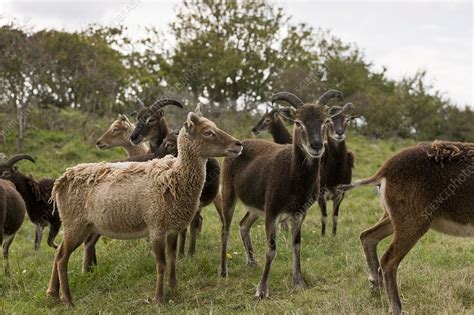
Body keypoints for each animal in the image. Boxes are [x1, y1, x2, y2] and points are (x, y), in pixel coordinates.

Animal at [47, 108, 244, 306]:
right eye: (207, 132)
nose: (239, 144)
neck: (174, 178)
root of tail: (62, 179)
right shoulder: (156, 227)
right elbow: (161, 263)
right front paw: (159, 298)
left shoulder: (172, 228)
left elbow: (172, 258)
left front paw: (174, 287)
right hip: (75, 224)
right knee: (62, 257)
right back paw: (68, 300)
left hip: (82, 226)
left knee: (58, 253)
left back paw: (53, 293)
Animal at [220, 89, 342, 298]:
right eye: (298, 122)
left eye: (325, 121)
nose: (317, 145)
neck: (293, 178)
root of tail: (239, 144)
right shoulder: (272, 212)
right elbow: (271, 250)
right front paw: (262, 290)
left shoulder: (299, 213)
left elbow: (297, 245)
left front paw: (299, 282)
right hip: (229, 192)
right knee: (225, 230)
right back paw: (223, 271)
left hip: (256, 206)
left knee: (243, 224)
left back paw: (252, 262)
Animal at [338, 141, 474, 315]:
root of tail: (384, 171)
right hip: (414, 222)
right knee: (388, 260)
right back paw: (395, 307)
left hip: (394, 217)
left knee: (367, 236)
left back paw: (376, 284)